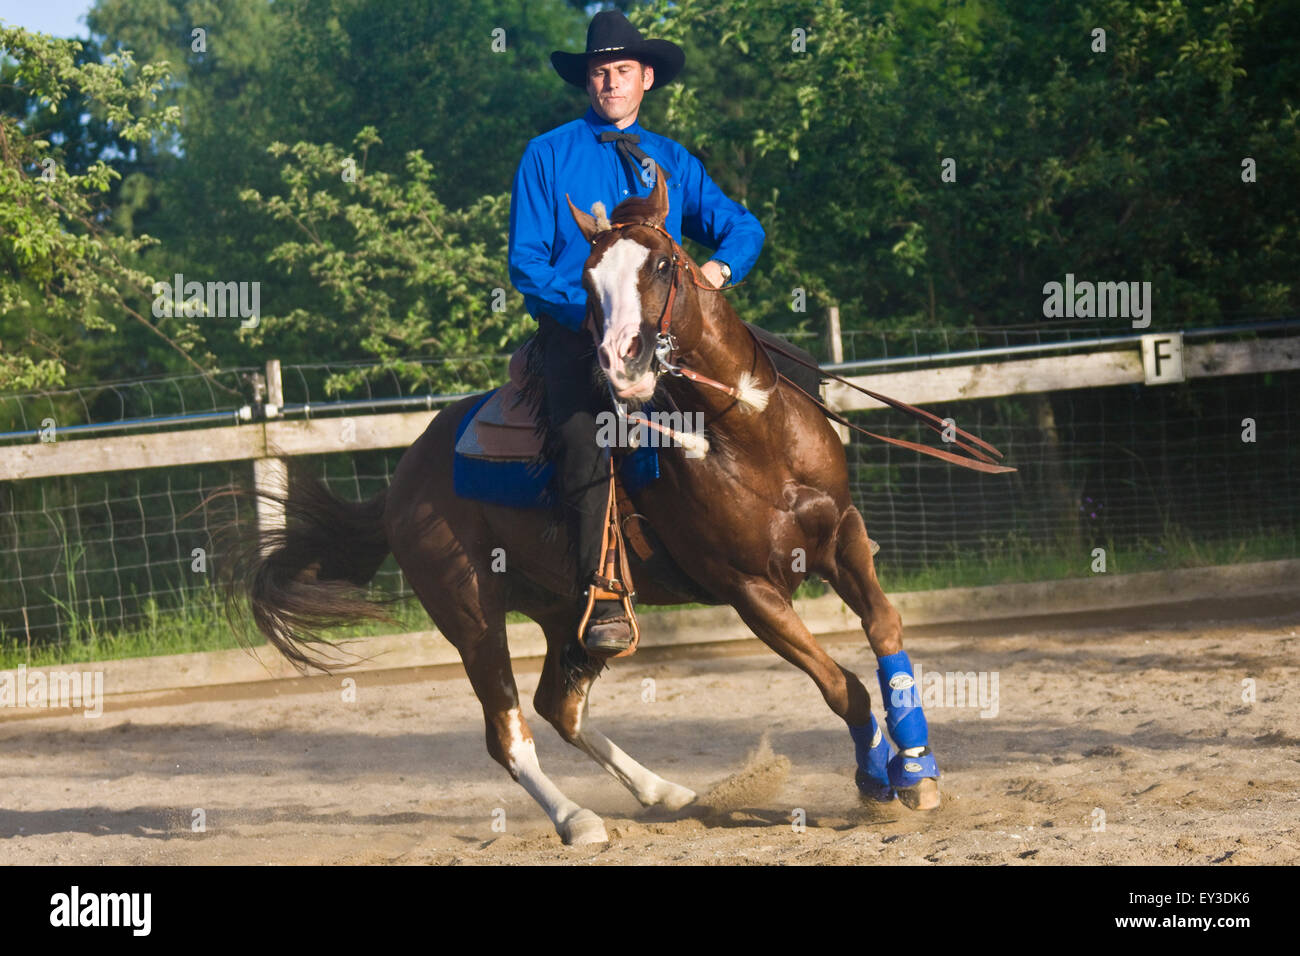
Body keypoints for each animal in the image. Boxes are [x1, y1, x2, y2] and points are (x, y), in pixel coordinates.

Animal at [233, 171, 941, 842]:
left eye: (664, 263)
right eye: (587, 279)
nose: (622, 362)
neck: (744, 433)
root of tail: (401, 483)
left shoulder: (843, 536)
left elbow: (885, 629)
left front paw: (915, 769)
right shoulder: (750, 591)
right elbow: (842, 687)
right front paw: (875, 781)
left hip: (566, 612)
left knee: (560, 707)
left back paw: (669, 793)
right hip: (471, 617)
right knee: (509, 734)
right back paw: (578, 821)